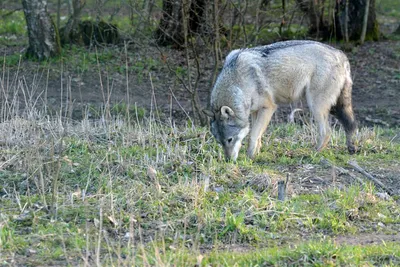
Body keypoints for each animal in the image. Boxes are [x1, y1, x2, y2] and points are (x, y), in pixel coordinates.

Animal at [205, 39, 358, 161]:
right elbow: (257, 135)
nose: (228, 161)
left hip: (316, 106)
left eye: (230, 139)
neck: (238, 82)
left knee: (327, 131)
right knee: (350, 124)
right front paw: (256, 153)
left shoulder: (269, 107)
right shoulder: (255, 111)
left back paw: (314, 153)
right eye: (219, 142)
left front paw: (250, 157)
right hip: (334, 108)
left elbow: (253, 136)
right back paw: (351, 148)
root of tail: (341, 54)